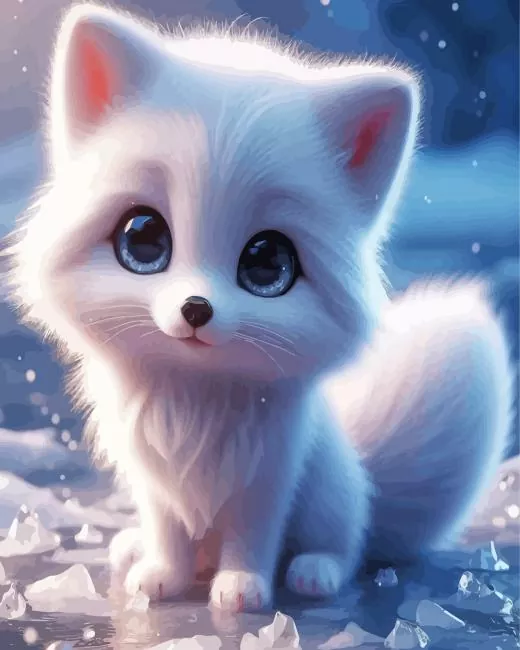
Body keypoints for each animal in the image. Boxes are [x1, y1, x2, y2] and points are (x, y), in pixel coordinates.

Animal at [6, 3, 513, 612]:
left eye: (268, 262)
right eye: (143, 238)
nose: (196, 309)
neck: (196, 402)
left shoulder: (268, 483)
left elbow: (253, 538)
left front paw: (242, 589)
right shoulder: (154, 482)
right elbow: (167, 533)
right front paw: (161, 577)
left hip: (330, 495)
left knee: (346, 544)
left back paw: (314, 572)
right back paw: (134, 548)